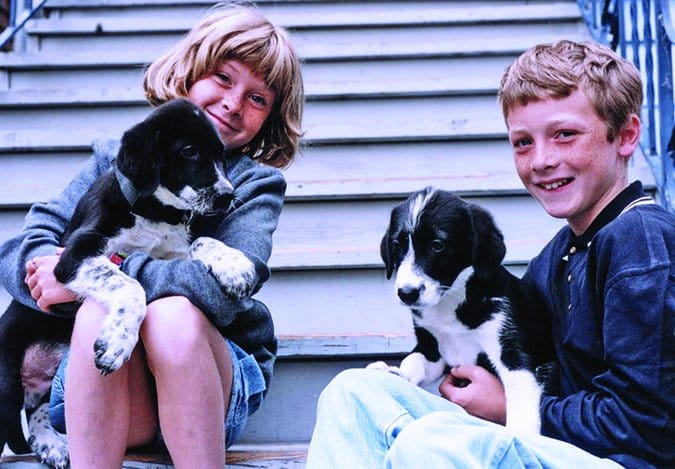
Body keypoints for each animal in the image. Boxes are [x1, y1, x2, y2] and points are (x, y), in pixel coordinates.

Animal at [0, 98, 258, 464]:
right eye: (189, 151)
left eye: (222, 153)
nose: (227, 195)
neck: (155, 210)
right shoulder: (74, 256)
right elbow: (130, 283)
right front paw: (117, 343)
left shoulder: (172, 250)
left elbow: (200, 242)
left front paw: (234, 265)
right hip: (4, 384)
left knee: (37, 409)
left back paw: (53, 445)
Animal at [370, 186, 556, 432]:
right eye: (397, 246)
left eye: (437, 245)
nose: (407, 293)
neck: (452, 299)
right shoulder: (431, 348)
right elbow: (414, 361)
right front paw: (398, 372)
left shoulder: (511, 354)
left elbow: (520, 404)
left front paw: (520, 435)